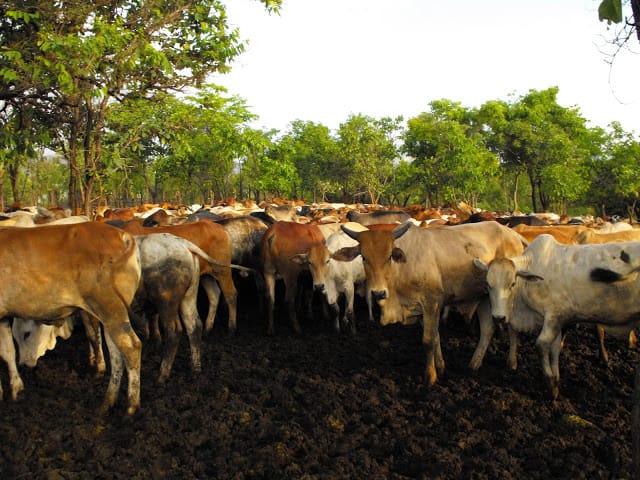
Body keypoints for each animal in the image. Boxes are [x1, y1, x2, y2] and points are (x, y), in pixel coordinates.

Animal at [0, 222, 142, 414]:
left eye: (27, 334)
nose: (24, 364)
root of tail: (122, 236)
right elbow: (8, 351)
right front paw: (16, 389)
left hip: (111, 310)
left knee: (131, 347)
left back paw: (131, 406)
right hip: (111, 315)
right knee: (117, 354)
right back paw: (107, 402)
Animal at [333, 221, 528, 384]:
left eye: (389, 257)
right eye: (363, 257)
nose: (378, 292)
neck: (402, 270)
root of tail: (512, 233)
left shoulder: (431, 303)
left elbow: (427, 341)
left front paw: (430, 377)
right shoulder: (422, 310)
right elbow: (435, 337)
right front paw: (441, 368)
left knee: (512, 327)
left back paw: (511, 362)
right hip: (486, 296)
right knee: (487, 328)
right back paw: (473, 365)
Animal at [473, 234, 640, 399]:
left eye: (512, 283)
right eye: (488, 284)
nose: (498, 317)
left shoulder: (554, 315)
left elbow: (541, 345)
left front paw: (551, 384)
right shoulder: (559, 320)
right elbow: (554, 349)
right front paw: (556, 379)